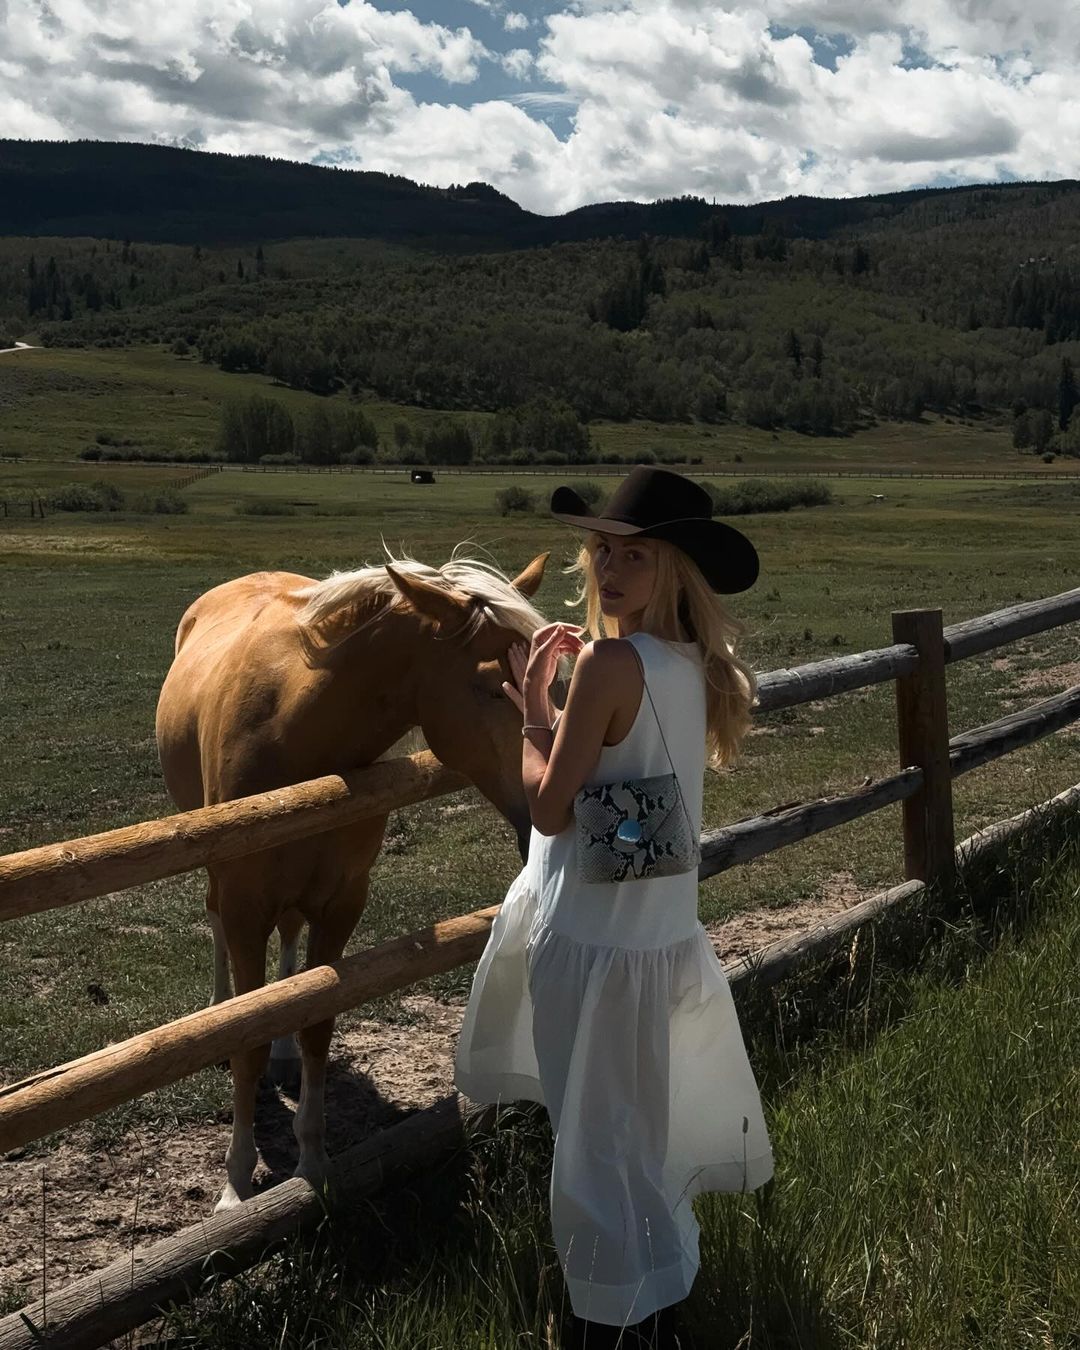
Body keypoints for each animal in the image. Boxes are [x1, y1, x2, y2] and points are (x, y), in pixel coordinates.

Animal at [155, 548, 548, 1215]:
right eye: (487, 685)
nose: (552, 811)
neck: (294, 730)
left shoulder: (342, 903)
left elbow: (316, 1019)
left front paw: (313, 1161)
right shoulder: (243, 906)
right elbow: (245, 1038)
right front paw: (236, 1185)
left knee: (291, 950)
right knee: (217, 936)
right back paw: (218, 1006)